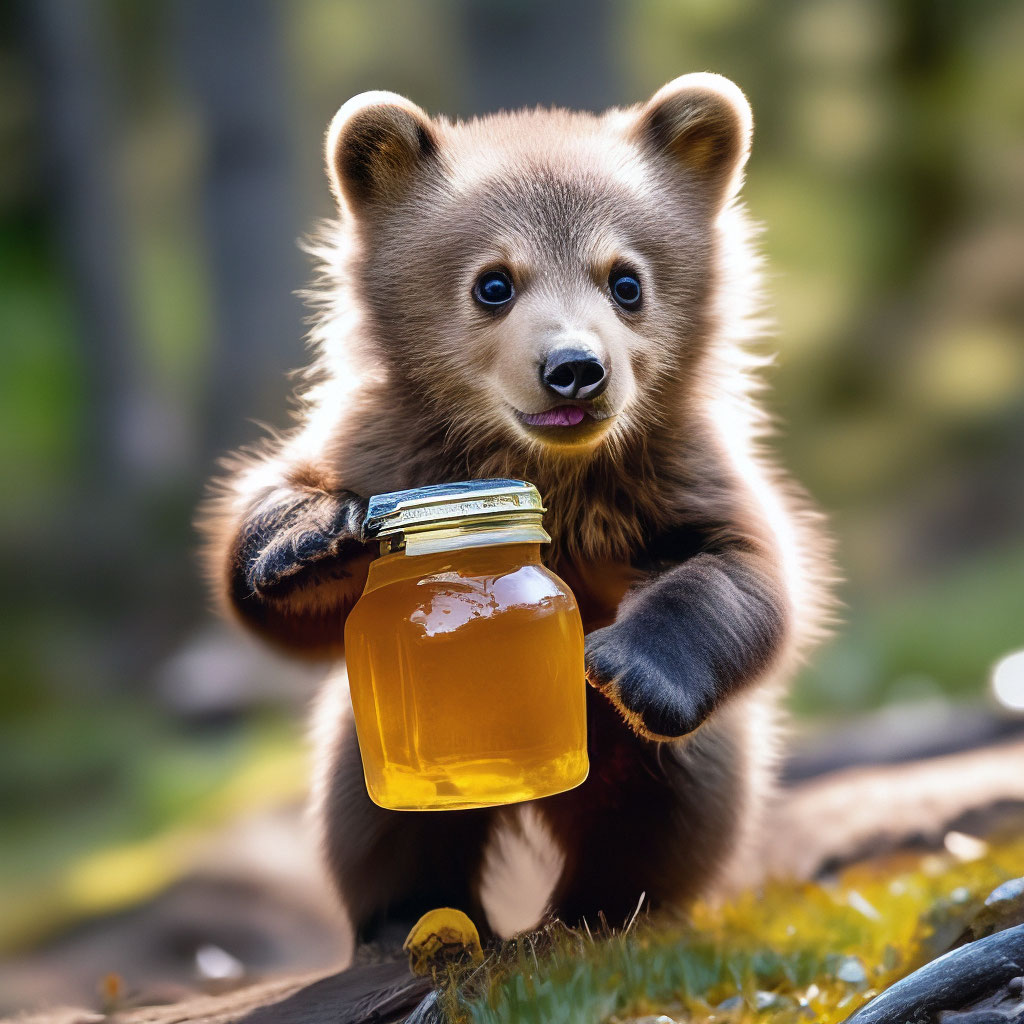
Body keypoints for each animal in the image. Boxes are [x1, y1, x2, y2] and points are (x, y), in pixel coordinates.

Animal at [200, 73, 831, 943]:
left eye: (626, 280)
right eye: (493, 281)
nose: (574, 368)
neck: (549, 473)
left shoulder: (676, 473)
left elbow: (748, 572)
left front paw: (628, 665)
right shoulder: (389, 447)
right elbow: (275, 576)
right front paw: (305, 538)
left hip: (680, 758)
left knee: (668, 808)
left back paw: (606, 908)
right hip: (372, 735)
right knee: (379, 818)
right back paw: (412, 914)